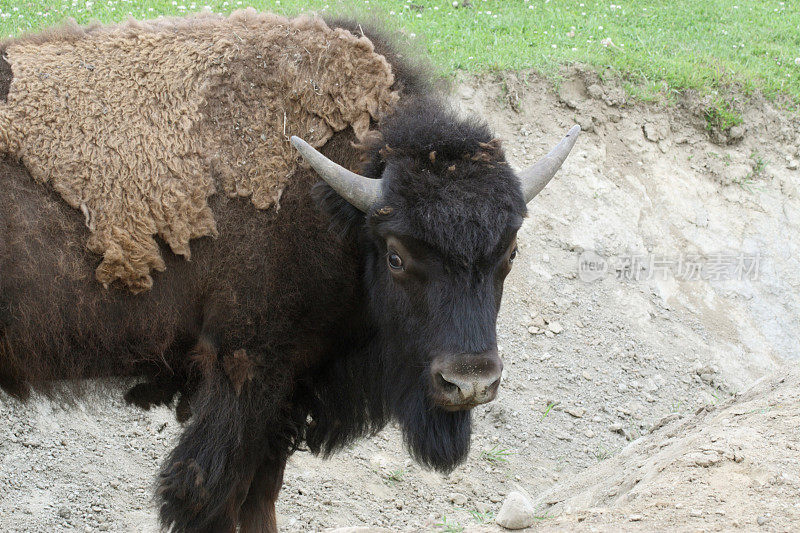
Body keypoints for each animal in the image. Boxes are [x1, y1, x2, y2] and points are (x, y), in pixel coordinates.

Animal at [0, 12, 580, 532]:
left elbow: (261, 495)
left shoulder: (288, 394)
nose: (469, 382)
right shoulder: (246, 372)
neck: (337, 206)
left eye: (510, 253)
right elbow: (207, 495)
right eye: (396, 256)